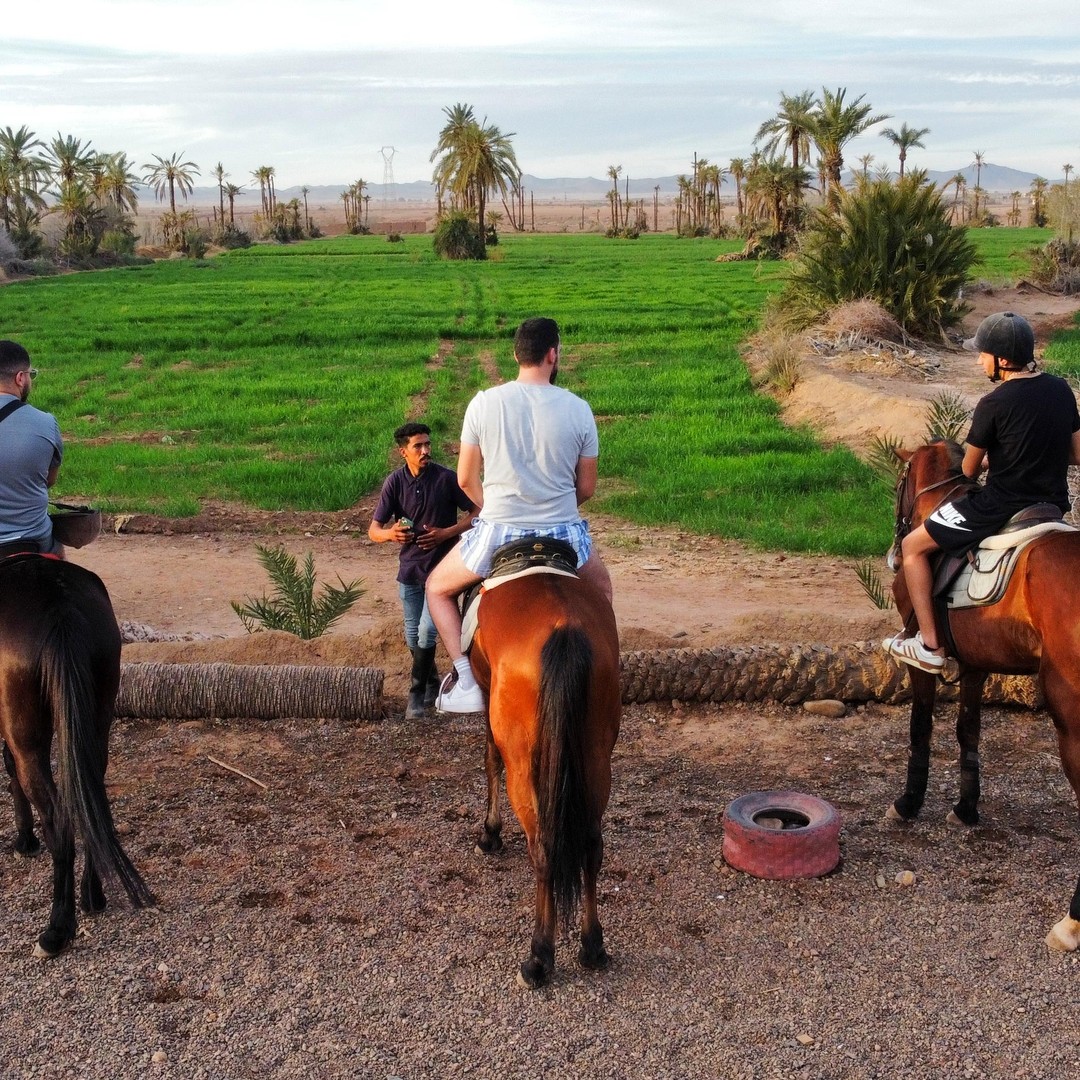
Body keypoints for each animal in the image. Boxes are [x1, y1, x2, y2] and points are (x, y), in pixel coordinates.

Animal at [0, 553, 153, 957]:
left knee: (58, 815)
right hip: (96, 715)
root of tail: (60, 607)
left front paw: (24, 841)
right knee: (91, 797)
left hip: (28, 736)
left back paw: (58, 927)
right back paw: (92, 895)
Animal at [468, 568, 621, 988]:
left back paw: (539, 955)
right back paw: (592, 946)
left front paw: (489, 833)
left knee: (543, 852)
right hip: (595, 759)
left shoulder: (486, 691)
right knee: (591, 846)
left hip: (524, 764)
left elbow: (490, 756)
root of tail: (562, 627)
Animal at [886, 439, 1080, 951]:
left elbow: (921, 726)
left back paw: (1071, 922)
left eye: (899, 485)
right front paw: (966, 808)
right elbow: (968, 731)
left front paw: (908, 803)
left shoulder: (924, 664)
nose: (895, 553)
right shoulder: (976, 664)